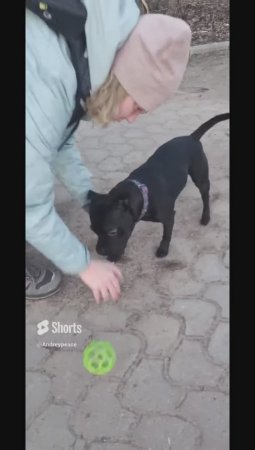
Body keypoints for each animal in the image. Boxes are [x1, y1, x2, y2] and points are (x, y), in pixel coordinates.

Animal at [87, 114, 229, 262]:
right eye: (93, 230)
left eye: (112, 231)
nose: (99, 251)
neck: (143, 193)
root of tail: (191, 137)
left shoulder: (169, 217)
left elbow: (166, 235)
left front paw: (163, 249)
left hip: (201, 179)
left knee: (205, 197)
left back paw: (205, 217)